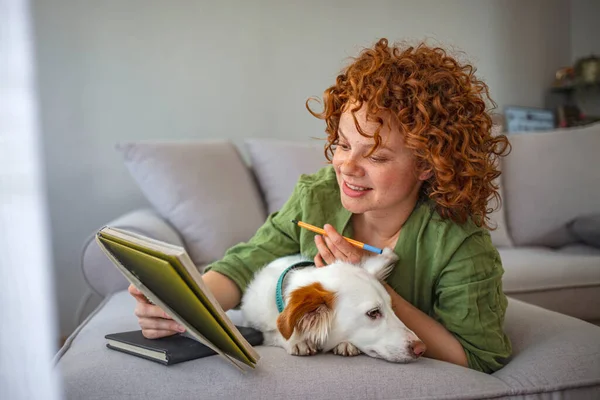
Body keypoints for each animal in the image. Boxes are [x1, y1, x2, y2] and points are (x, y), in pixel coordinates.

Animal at [239, 247, 426, 362]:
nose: (421, 348)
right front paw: (297, 340)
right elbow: (274, 333)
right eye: (373, 313)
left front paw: (346, 344)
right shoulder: (260, 326)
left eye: (392, 308)